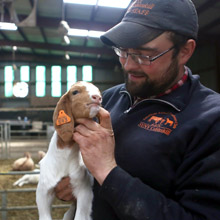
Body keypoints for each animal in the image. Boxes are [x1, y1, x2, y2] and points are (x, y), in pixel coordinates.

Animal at [36, 81, 101, 220]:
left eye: (98, 90)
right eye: (75, 92)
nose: (97, 97)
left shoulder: (84, 190)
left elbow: (81, 216)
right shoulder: (43, 191)